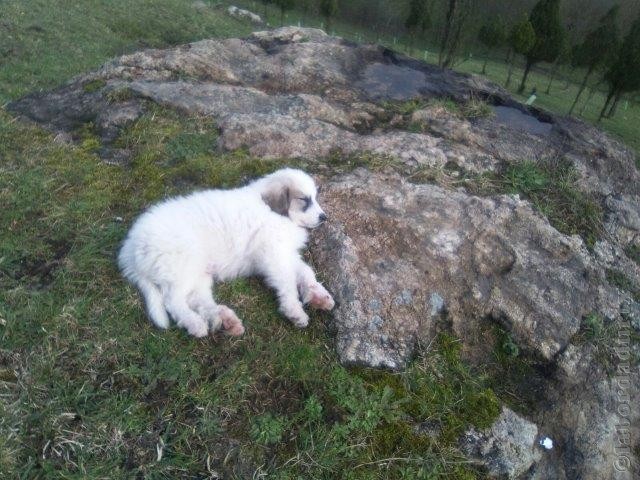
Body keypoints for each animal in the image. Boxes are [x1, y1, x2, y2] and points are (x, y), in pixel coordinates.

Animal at [117, 169, 336, 338]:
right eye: (304, 200)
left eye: (314, 198)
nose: (324, 218)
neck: (275, 211)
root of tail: (130, 248)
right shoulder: (273, 254)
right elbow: (288, 282)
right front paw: (294, 310)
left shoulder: (285, 253)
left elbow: (305, 271)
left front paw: (318, 295)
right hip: (182, 265)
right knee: (173, 301)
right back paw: (195, 324)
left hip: (198, 271)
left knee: (198, 299)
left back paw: (224, 320)